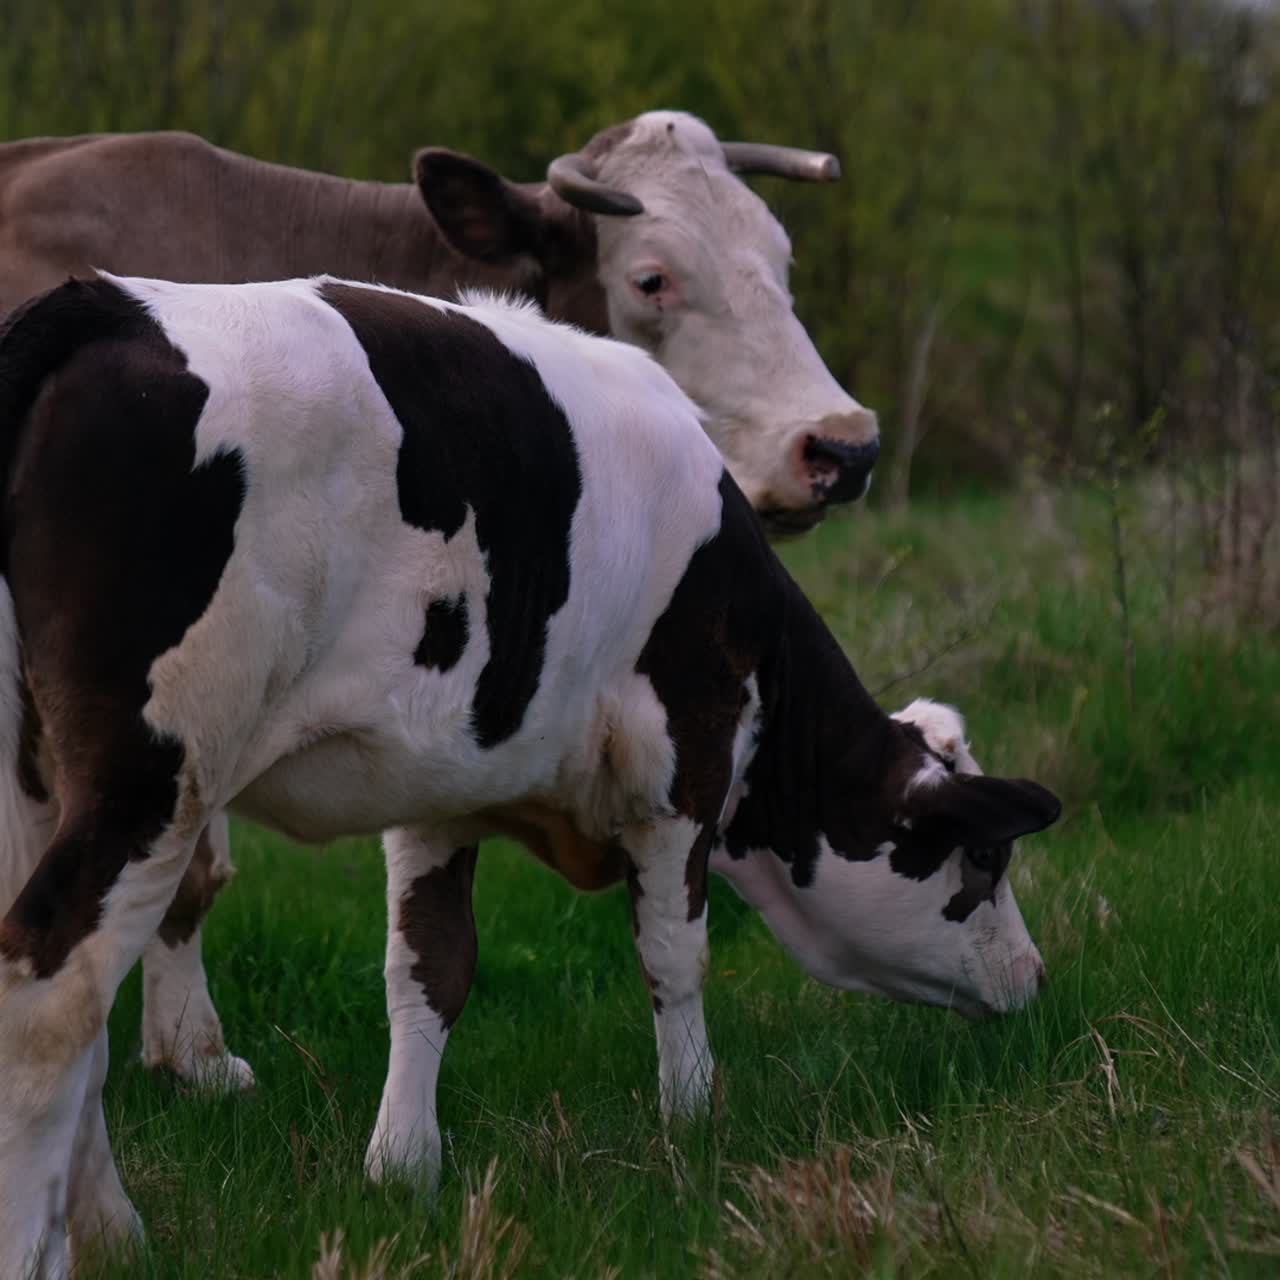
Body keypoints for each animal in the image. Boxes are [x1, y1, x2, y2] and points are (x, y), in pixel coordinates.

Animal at [0, 274, 1059, 1278]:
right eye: (986, 862)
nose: (1037, 977)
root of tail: (105, 306)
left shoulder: (438, 782)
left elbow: (428, 967)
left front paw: (403, 1167)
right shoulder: (686, 760)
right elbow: (674, 954)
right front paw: (693, 1121)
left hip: (37, 782)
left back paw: (114, 1237)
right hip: (149, 780)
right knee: (53, 998)